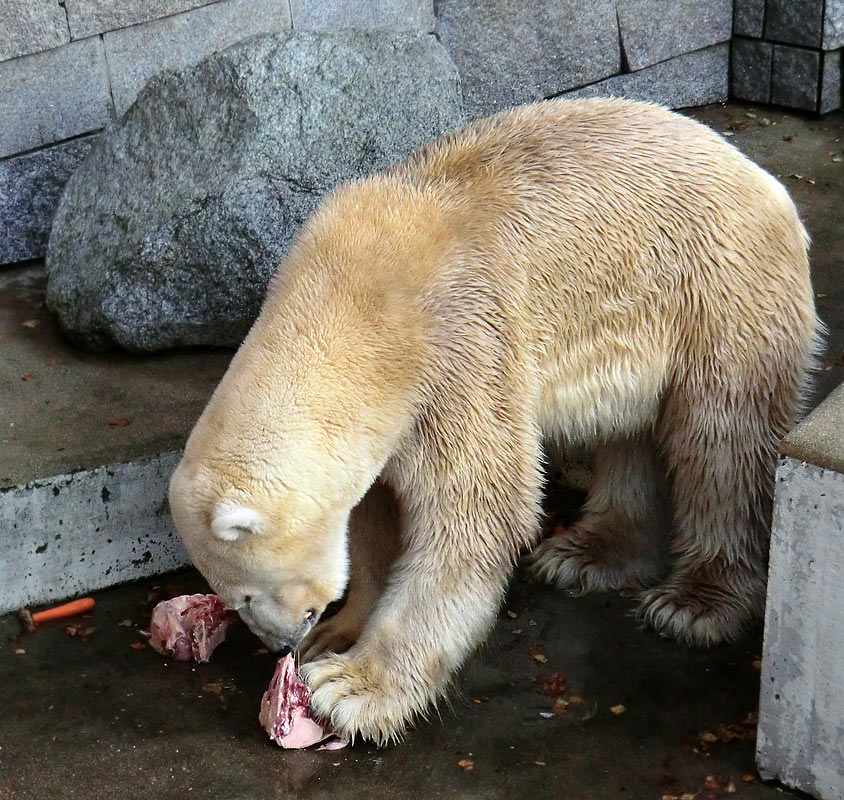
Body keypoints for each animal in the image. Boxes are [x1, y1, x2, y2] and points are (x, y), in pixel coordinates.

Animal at [168, 98, 820, 744]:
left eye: (246, 593)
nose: (283, 644)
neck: (352, 304)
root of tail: (763, 178)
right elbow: (376, 516)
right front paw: (339, 633)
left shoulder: (457, 345)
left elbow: (476, 507)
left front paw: (354, 689)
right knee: (627, 431)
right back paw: (588, 552)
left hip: (716, 290)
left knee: (721, 440)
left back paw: (694, 602)